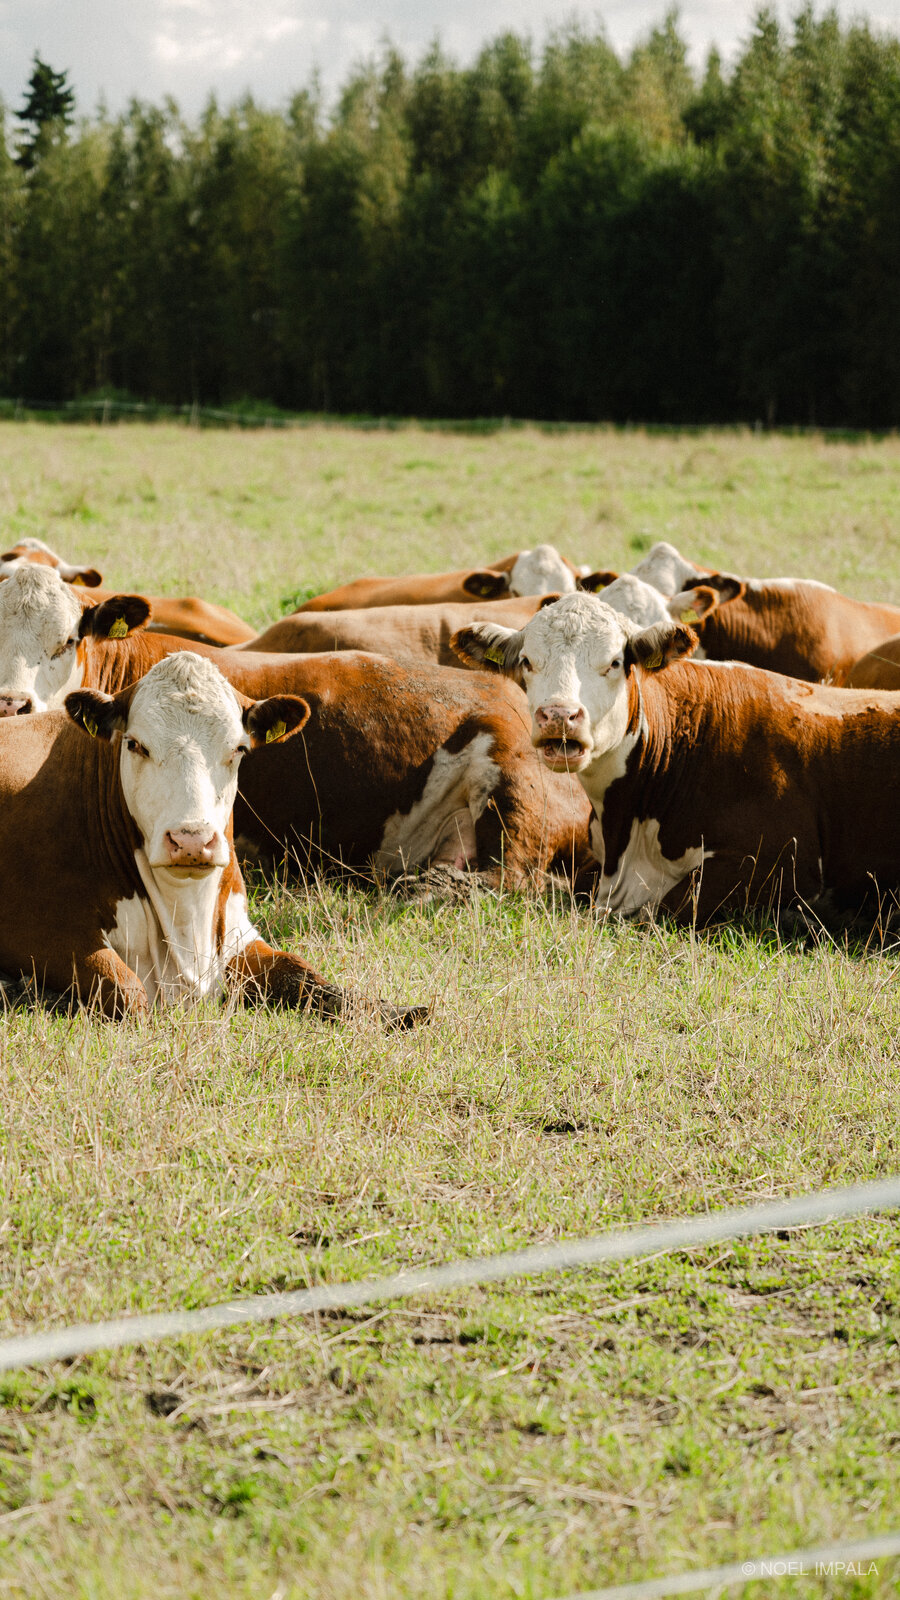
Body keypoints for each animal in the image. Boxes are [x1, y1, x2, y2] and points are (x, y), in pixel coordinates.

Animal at [0, 651, 425, 1024]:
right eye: (135, 744)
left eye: (238, 748)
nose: (191, 840)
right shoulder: (46, 931)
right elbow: (128, 991)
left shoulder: (239, 934)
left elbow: (304, 974)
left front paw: (393, 1010)